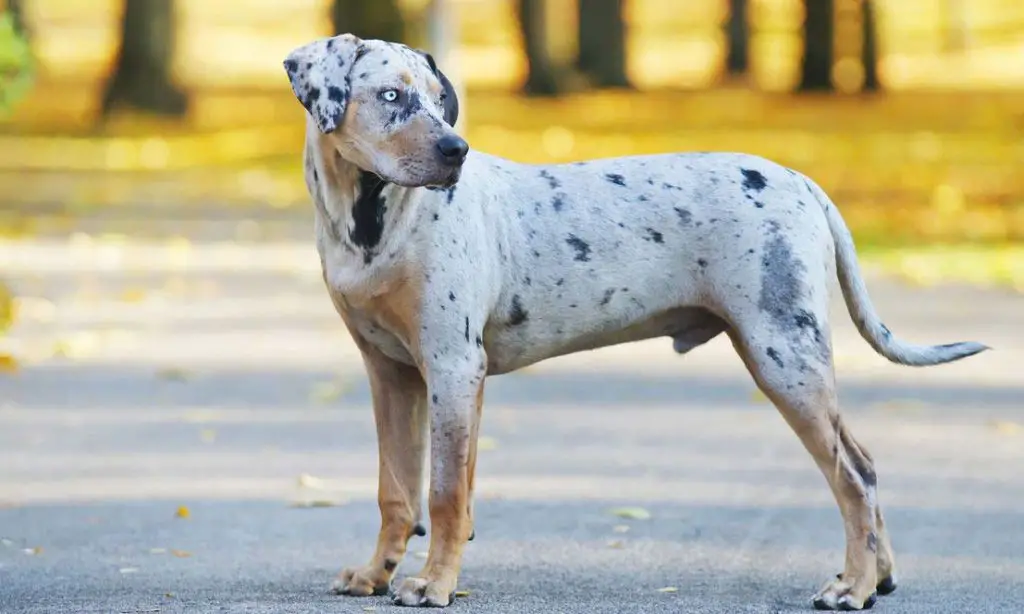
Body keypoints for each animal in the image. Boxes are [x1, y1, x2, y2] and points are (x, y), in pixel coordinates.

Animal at [284, 32, 987, 609]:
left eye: (439, 99)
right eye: (391, 96)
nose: (457, 150)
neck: (374, 224)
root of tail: (802, 182)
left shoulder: (454, 369)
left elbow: (446, 492)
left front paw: (433, 584)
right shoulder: (393, 375)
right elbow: (397, 490)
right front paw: (375, 575)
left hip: (785, 358)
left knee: (854, 475)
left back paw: (854, 588)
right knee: (864, 464)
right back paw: (877, 577)